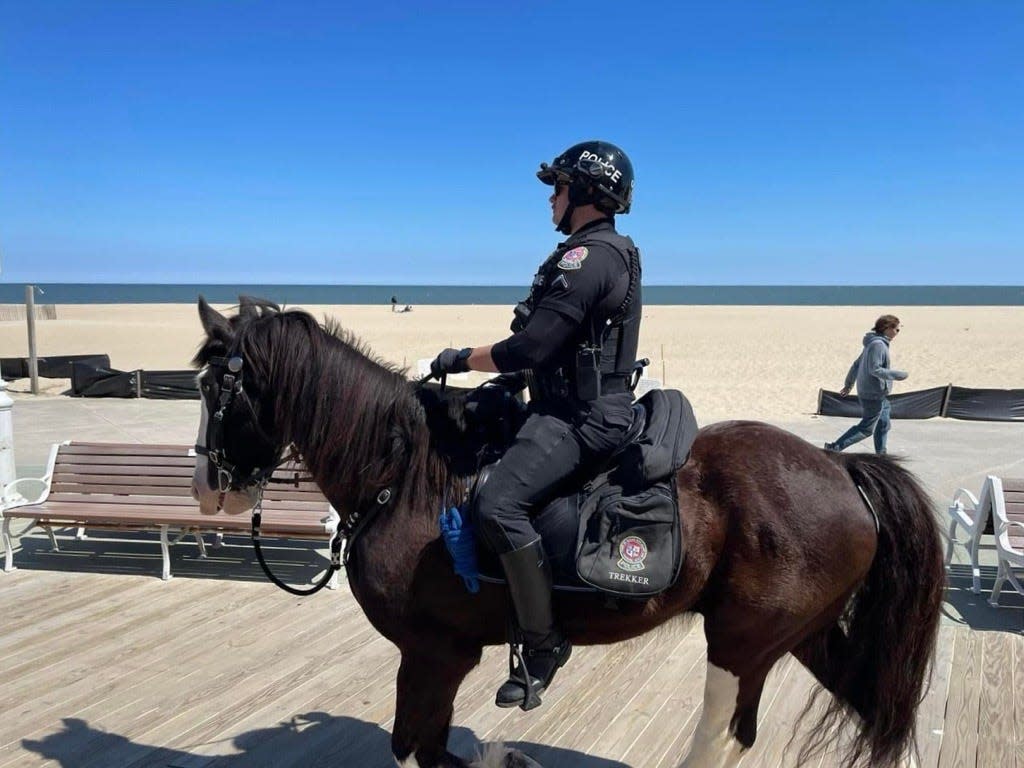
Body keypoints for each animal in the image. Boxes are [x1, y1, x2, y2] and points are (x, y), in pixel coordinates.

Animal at [188, 299, 937, 768]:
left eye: (213, 391)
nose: (206, 486)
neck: (407, 474)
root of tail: (840, 469)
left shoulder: (434, 653)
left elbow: (416, 748)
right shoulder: (438, 658)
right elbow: (430, 750)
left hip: (739, 643)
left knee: (719, 740)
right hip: (792, 637)